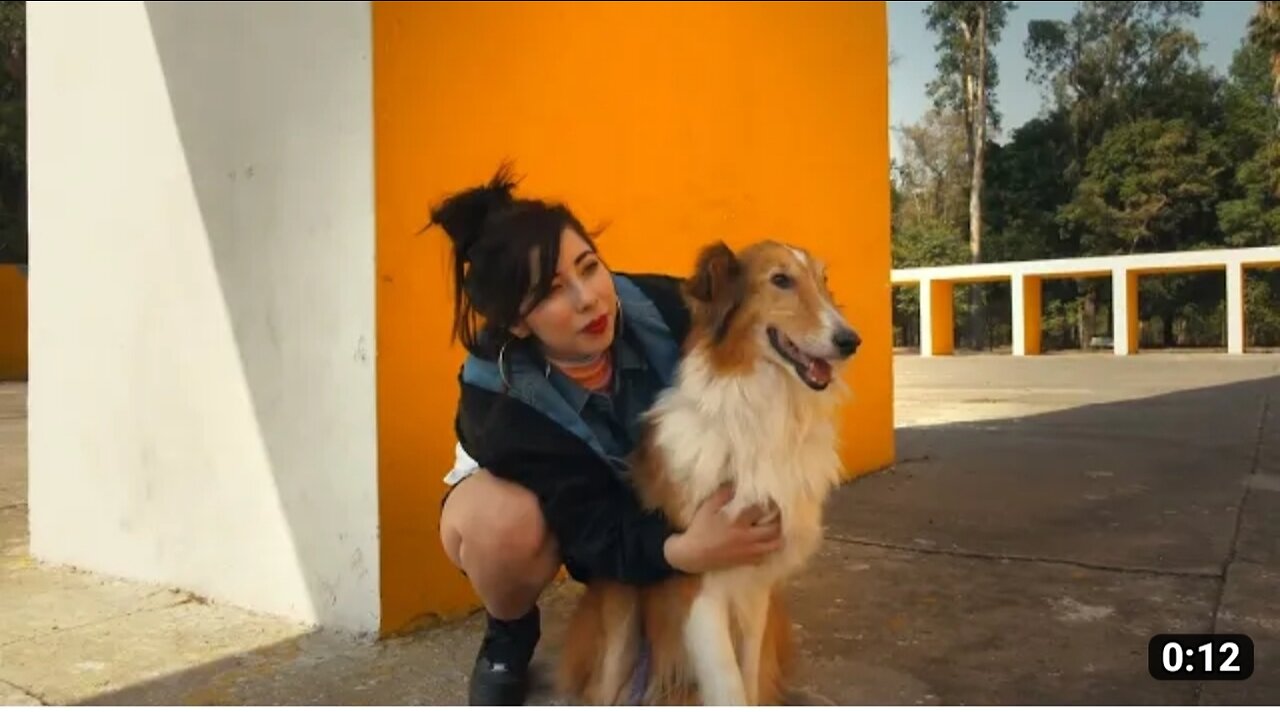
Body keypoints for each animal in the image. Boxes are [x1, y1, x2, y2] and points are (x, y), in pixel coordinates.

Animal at [558, 240, 860, 706]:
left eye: (823, 279)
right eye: (780, 279)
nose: (850, 341)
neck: (761, 417)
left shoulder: (754, 589)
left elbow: (748, 683)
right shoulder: (700, 590)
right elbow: (730, 690)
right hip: (622, 618)